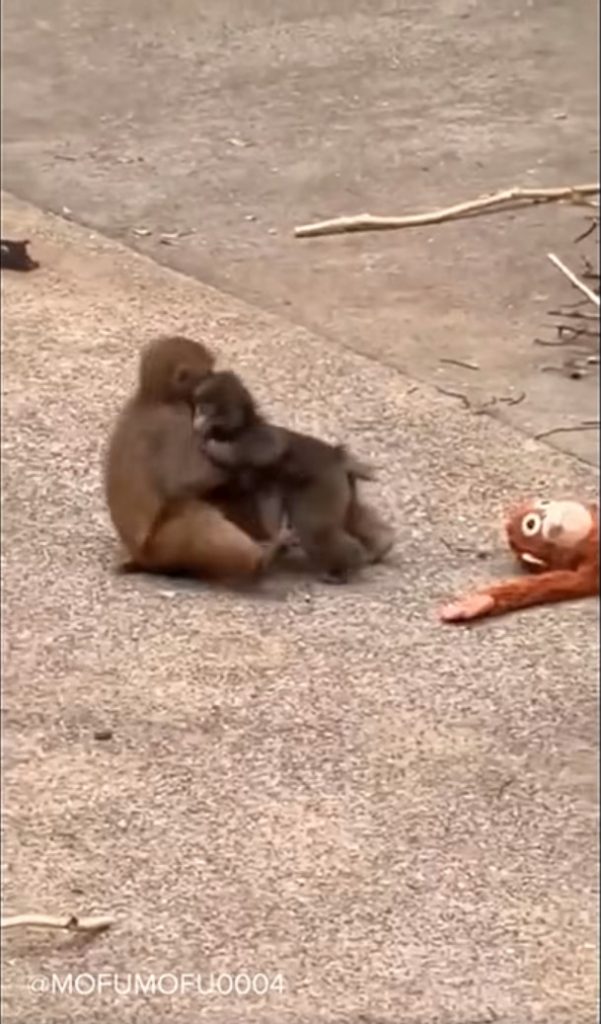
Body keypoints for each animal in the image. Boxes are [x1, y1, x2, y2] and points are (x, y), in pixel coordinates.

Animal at [104, 335, 289, 582]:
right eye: (208, 371)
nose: (214, 376)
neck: (153, 399)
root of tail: (139, 556)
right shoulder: (176, 421)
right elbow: (180, 484)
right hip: (163, 546)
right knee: (197, 515)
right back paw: (263, 559)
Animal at [193, 370, 395, 582]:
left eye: (205, 409)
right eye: (199, 408)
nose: (197, 419)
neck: (240, 427)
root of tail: (337, 457)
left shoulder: (258, 436)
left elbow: (270, 449)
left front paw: (213, 447)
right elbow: (268, 498)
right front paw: (277, 538)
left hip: (324, 483)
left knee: (315, 528)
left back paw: (351, 562)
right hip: (342, 486)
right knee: (350, 516)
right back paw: (382, 544)